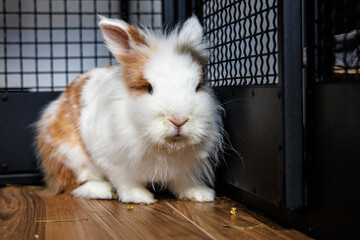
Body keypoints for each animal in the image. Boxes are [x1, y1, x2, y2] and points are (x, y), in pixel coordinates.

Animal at [35, 15, 224, 203]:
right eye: (149, 88)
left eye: (197, 86)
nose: (179, 120)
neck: (166, 147)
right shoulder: (114, 162)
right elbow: (126, 182)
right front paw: (140, 198)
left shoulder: (184, 167)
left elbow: (183, 181)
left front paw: (201, 194)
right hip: (71, 156)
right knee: (73, 184)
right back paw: (102, 191)